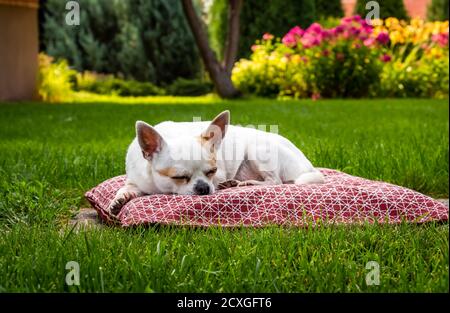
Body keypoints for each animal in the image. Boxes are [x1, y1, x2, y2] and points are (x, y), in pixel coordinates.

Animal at [108, 109, 324, 214]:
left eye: (211, 171)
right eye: (179, 177)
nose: (204, 188)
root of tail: (308, 165)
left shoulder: (219, 175)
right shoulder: (136, 180)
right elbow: (126, 188)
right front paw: (119, 200)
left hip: (258, 149)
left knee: (275, 181)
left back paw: (245, 183)